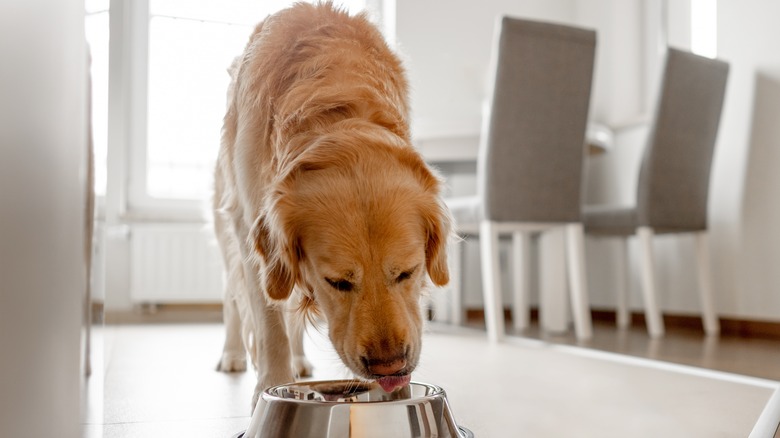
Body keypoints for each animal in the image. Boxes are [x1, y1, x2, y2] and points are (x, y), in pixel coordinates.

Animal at [213, 1, 454, 408]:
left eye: (407, 272)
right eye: (338, 282)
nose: (389, 367)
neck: (336, 111)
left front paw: (400, 396)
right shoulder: (250, 229)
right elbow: (269, 323)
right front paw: (268, 388)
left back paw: (298, 362)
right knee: (235, 298)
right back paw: (232, 354)